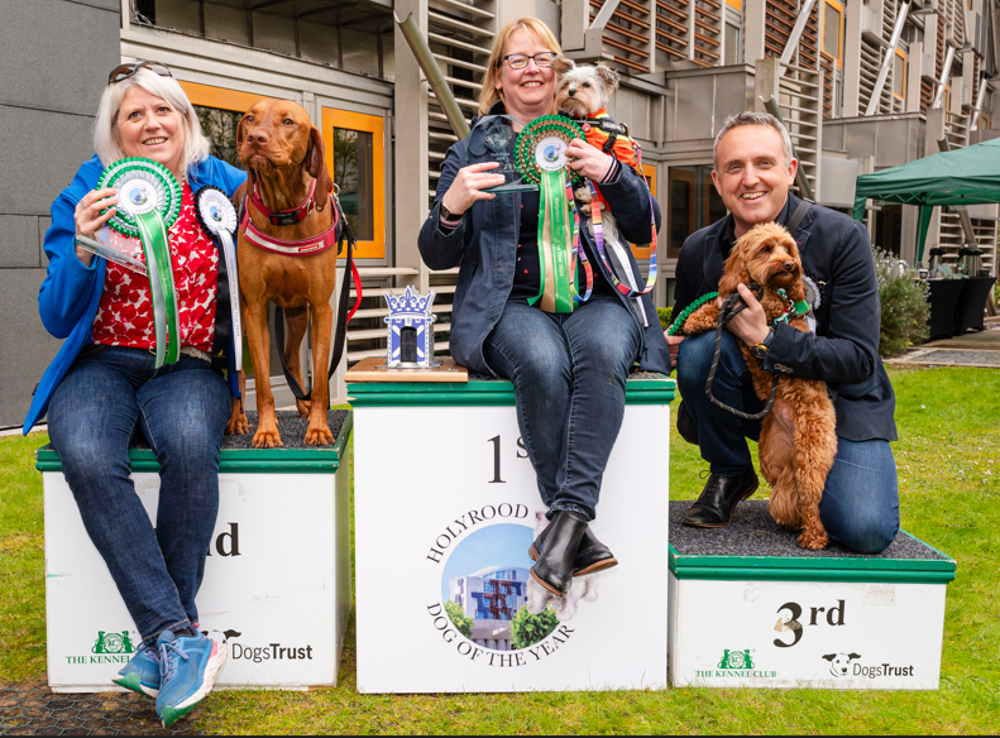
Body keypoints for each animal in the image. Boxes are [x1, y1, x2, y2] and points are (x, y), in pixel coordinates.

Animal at [226, 97, 336, 442]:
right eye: (250, 118)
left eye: (288, 122)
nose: (255, 139)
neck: (284, 213)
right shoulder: (255, 309)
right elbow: (262, 383)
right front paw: (266, 431)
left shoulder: (321, 308)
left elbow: (320, 383)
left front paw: (318, 427)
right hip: (239, 315)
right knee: (237, 371)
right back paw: (236, 419)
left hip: (297, 312)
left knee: (290, 357)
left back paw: (302, 404)